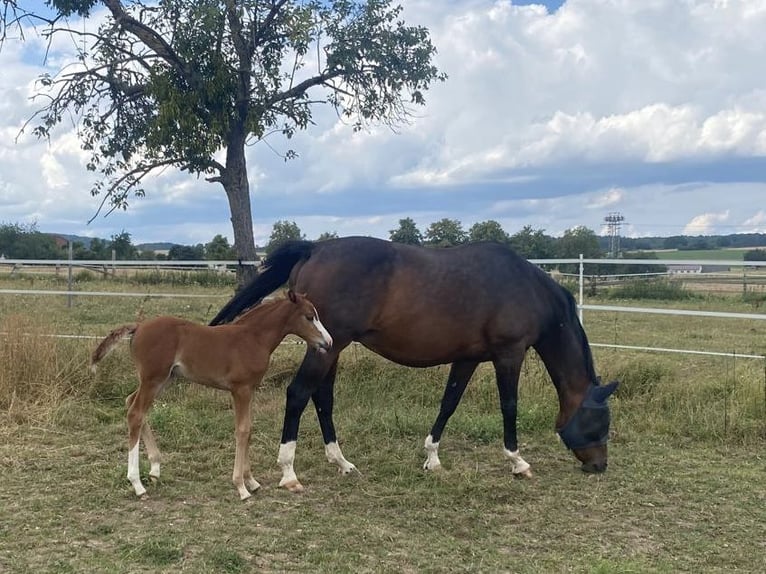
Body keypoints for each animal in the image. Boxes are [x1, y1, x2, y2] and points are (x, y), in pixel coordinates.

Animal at [90, 290, 333, 500]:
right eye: (309, 317)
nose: (328, 342)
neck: (252, 338)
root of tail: (139, 326)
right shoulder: (240, 389)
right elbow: (242, 430)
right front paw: (241, 487)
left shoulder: (249, 389)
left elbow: (249, 429)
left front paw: (252, 482)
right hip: (153, 379)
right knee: (136, 413)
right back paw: (137, 484)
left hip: (163, 380)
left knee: (132, 403)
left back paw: (155, 469)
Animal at [210, 237, 618, 493]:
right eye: (601, 422)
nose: (599, 466)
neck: (525, 287)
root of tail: (315, 248)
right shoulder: (509, 354)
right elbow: (509, 406)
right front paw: (518, 462)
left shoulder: (467, 358)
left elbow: (449, 403)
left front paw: (432, 457)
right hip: (327, 345)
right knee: (298, 394)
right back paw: (289, 471)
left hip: (330, 346)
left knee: (322, 398)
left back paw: (342, 462)